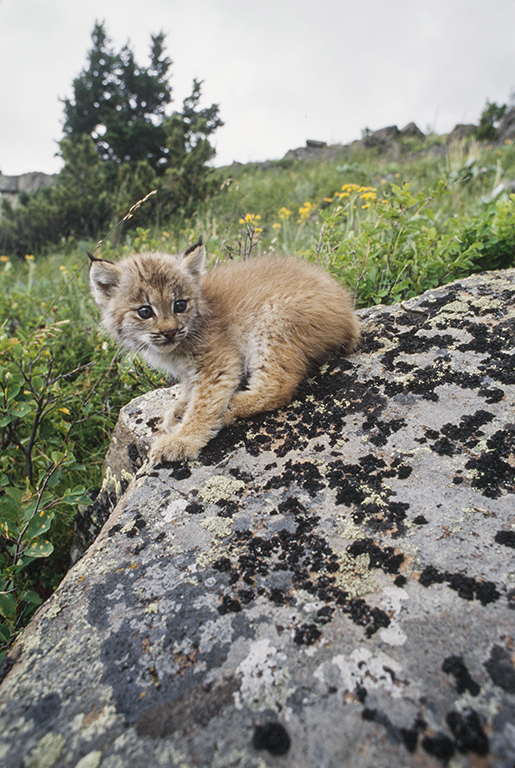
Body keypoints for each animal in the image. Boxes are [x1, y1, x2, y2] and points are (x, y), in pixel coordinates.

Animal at [89, 243, 358, 462]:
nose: (170, 332)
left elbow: (203, 403)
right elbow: (190, 388)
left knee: (279, 385)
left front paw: (182, 439)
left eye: (180, 305)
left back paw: (231, 407)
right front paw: (181, 408)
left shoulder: (219, 361)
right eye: (144, 312)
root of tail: (347, 308)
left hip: (271, 319)